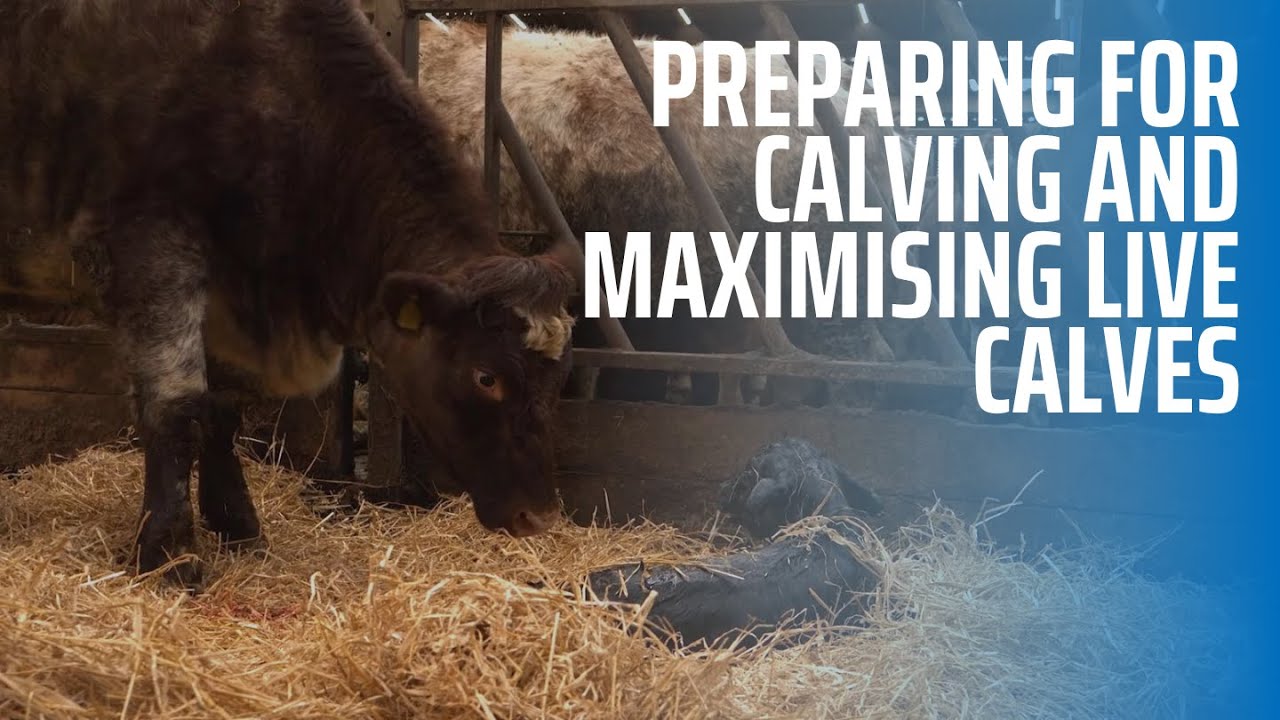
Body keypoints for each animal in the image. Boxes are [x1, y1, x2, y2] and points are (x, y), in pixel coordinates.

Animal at [0, 0, 578, 585]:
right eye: (486, 377)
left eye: (560, 376)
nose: (540, 516)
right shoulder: (148, 248)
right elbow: (176, 409)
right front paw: (170, 553)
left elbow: (222, 407)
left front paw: (236, 524)